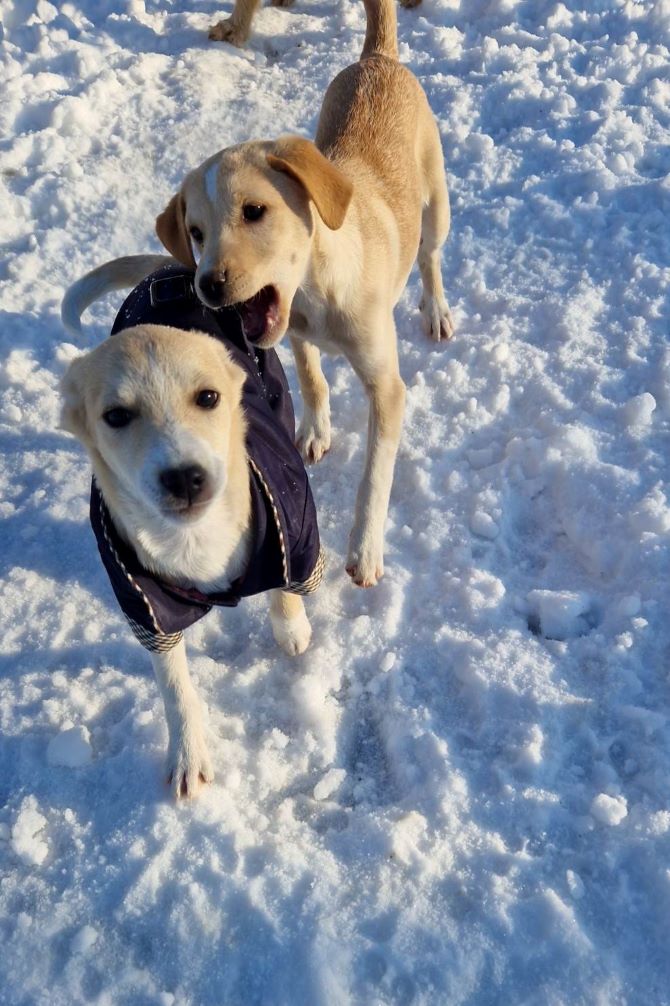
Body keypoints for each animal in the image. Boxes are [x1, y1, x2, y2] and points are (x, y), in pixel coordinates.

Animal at [60, 263, 323, 796]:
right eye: (115, 415)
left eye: (208, 397)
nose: (184, 477)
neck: (196, 540)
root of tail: (166, 268)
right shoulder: (146, 608)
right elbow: (174, 685)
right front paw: (187, 756)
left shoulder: (292, 521)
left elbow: (285, 583)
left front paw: (292, 628)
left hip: (275, 390)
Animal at [153, 0, 450, 587]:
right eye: (195, 233)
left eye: (254, 211)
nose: (209, 285)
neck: (318, 290)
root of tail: (377, 59)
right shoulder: (294, 334)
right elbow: (312, 378)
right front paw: (315, 431)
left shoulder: (387, 387)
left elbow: (375, 475)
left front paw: (365, 550)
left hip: (437, 201)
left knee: (430, 257)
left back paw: (436, 309)